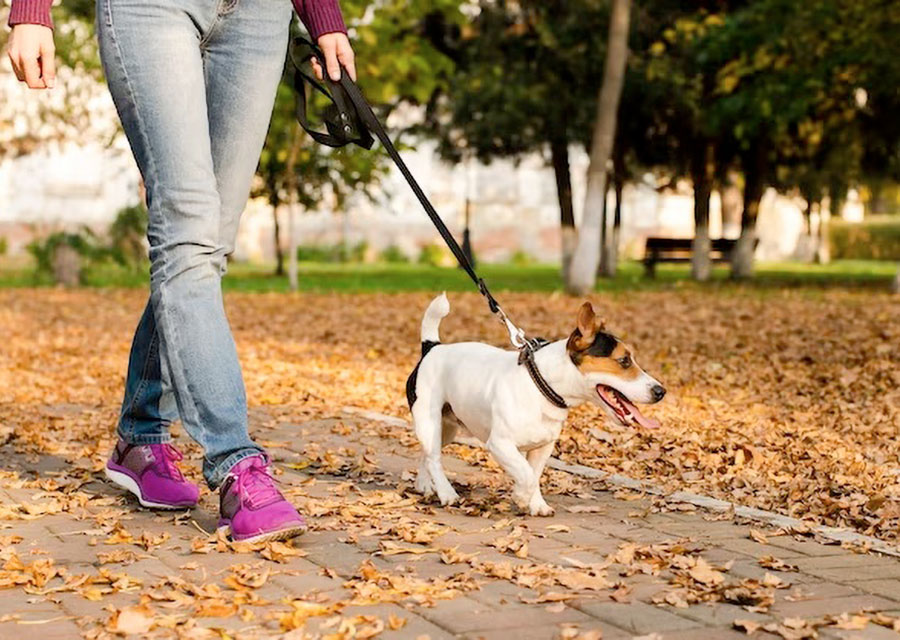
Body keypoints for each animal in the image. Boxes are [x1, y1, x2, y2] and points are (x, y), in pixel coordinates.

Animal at [404, 294, 664, 516]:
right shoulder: (499, 444)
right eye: (624, 361)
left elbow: (535, 474)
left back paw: (425, 485)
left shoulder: (543, 447)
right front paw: (521, 497)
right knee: (434, 458)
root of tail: (432, 348)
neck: (541, 384)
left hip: (446, 428)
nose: (661, 391)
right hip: (429, 421)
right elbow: (527, 475)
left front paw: (536, 504)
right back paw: (447, 493)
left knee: (427, 454)